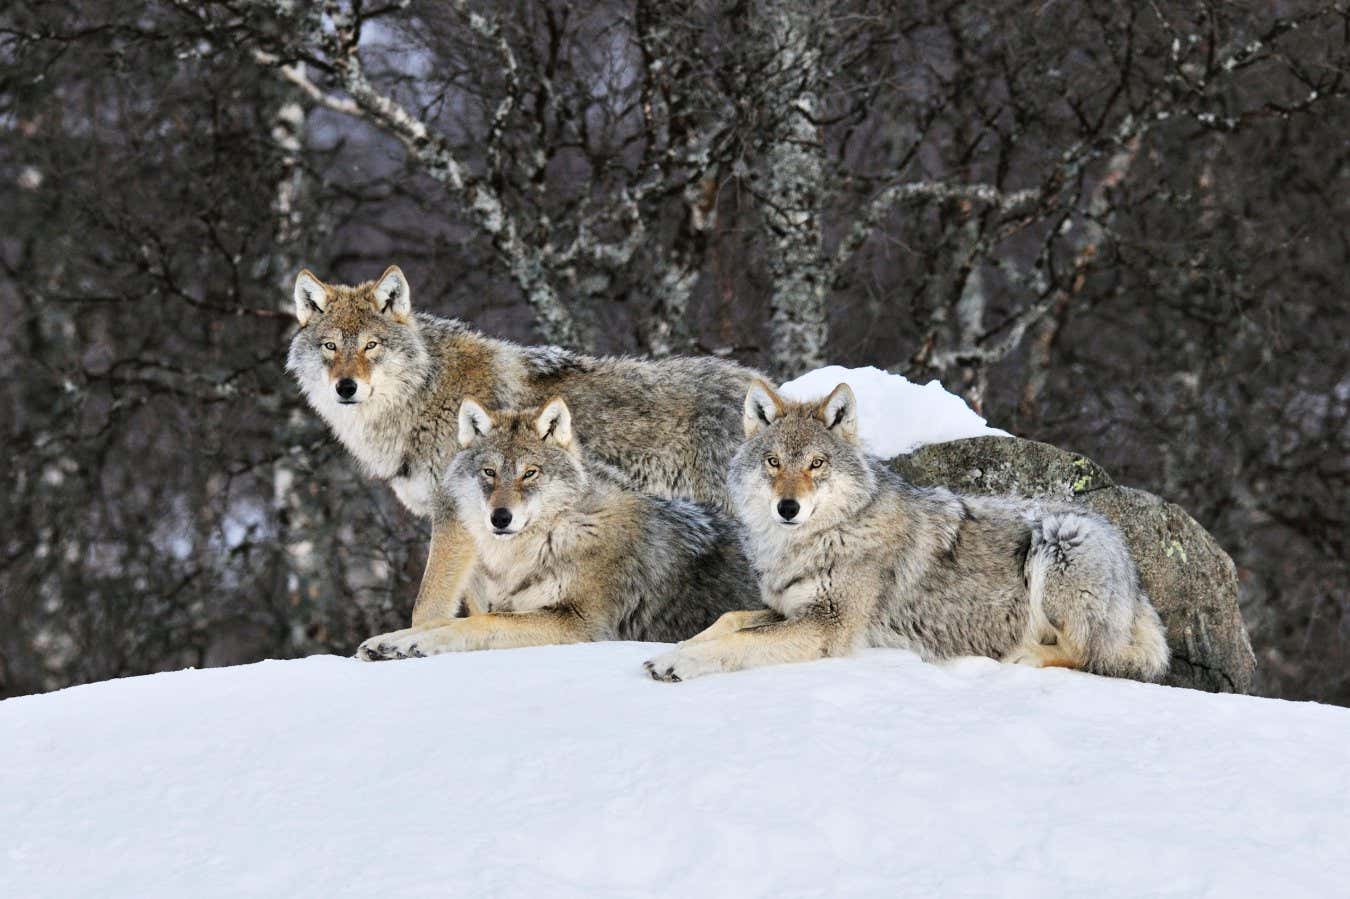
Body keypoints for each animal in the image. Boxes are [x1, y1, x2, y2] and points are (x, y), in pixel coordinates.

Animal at [286, 266, 760, 626]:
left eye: (371, 345)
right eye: (330, 346)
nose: (346, 387)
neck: (423, 395)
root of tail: (766, 388)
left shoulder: (454, 519)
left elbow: (428, 607)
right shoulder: (478, 524)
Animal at [355, 397, 760, 659]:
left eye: (529, 473)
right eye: (489, 472)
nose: (500, 518)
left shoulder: (581, 625)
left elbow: (482, 622)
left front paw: (417, 644)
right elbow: (441, 621)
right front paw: (393, 640)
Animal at [644, 381, 1170, 683]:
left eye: (816, 464)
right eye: (774, 462)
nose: (787, 507)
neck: (823, 537)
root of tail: (1139, 587)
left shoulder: (829, 627)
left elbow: (738, 642)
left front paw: (680, 663)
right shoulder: (789, 609)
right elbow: (728, 619)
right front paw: (677, 649)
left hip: (1060, 537)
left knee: (1090, 656)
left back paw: (1019, 657)